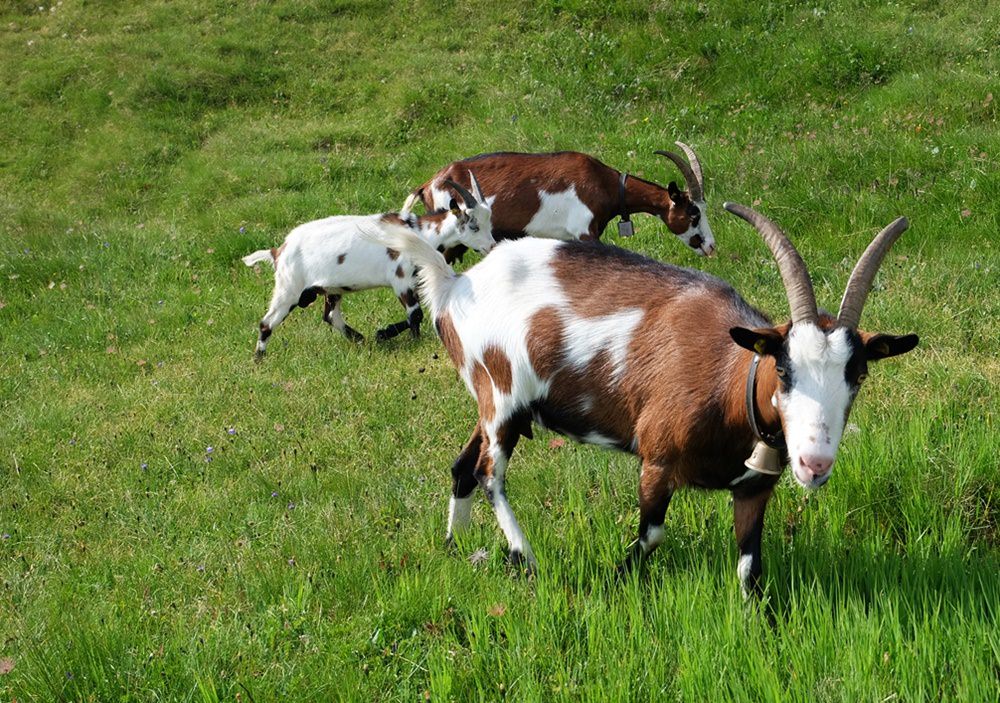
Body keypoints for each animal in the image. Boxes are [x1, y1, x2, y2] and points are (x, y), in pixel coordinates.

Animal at [242, 174, 492, 360]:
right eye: (474, 226)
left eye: (488, 222)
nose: (491, 246)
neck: (420, 234)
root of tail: (278, 251)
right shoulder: (401, 279)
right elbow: (415, 314)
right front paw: (409, 340)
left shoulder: (415, 279)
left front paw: (383, 334)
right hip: (289, 288)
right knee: (267, 323)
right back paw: (259, 359)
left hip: (330, 289)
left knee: (331, 315)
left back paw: (360, 339)